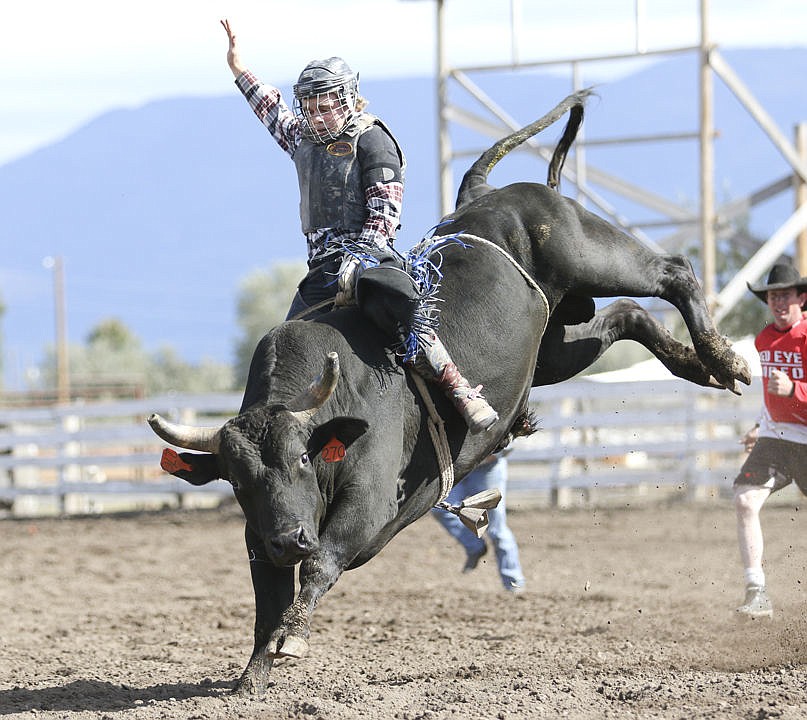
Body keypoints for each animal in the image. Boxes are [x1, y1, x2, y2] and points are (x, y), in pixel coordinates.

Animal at [145, 88, 752, 692]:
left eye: (300, 458)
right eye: (237, 479)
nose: (290, 539)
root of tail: (489, 193)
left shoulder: (369, 503)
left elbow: (322, 563)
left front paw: (291, 640)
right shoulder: (260, 534)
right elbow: (267, 598)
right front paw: (253, 674)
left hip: (591, 254)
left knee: (672, 272)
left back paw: (722, 357)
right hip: (552, 347)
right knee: (629, 315)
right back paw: (699, 366)